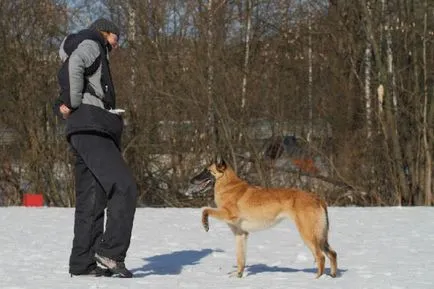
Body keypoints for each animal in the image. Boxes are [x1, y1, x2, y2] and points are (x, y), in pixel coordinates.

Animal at [186, 156, 336, 278]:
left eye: (206, 171)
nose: (191, 179)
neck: (228, 185)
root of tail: (317, 198)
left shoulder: (227, 214)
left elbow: (205, 210)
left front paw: (205, 224)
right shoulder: (241, 234)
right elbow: (240, 258)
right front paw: (238, 275)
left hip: (308, 234)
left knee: (321, 257)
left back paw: (316, 280)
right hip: (320, 237)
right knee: (332, 254)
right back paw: (332, 276)